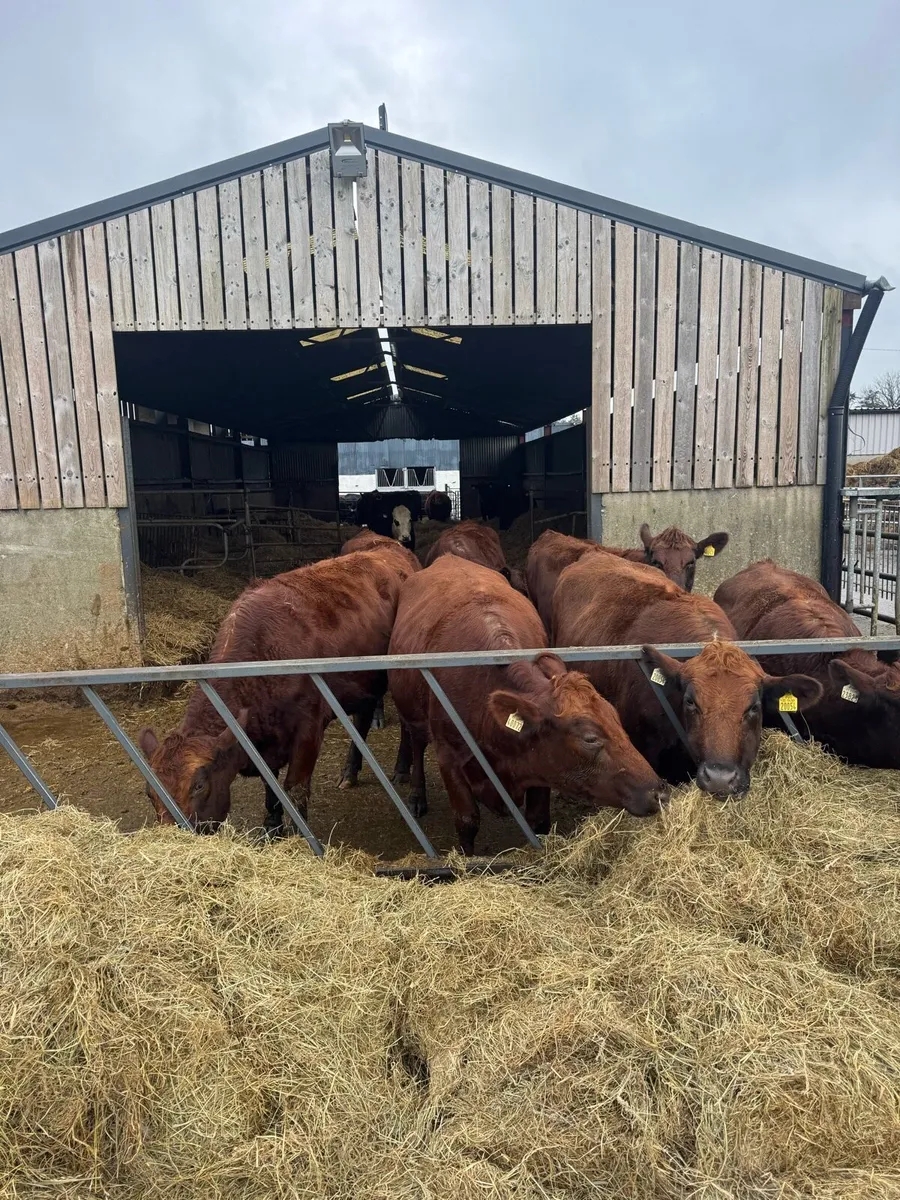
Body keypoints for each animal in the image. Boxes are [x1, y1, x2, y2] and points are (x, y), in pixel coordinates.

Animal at [138, 546, 419, 833]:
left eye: (199, 785)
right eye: (150, 793)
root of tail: (387, 548)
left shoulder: (308, 730)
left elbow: (294, 788)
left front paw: (298, 834)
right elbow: (271, 787)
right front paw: (271, 829)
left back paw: (402, 770)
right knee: (362, 720)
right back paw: (349, 772)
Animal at [388, 555, 667, 854]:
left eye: (616, 719)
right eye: (589, 738)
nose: (658, 792)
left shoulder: (541, 764)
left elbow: (539, 820)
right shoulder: (449, 757)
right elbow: (466, 821)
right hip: (411, 712)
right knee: (416, 741)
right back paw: (415, 793)